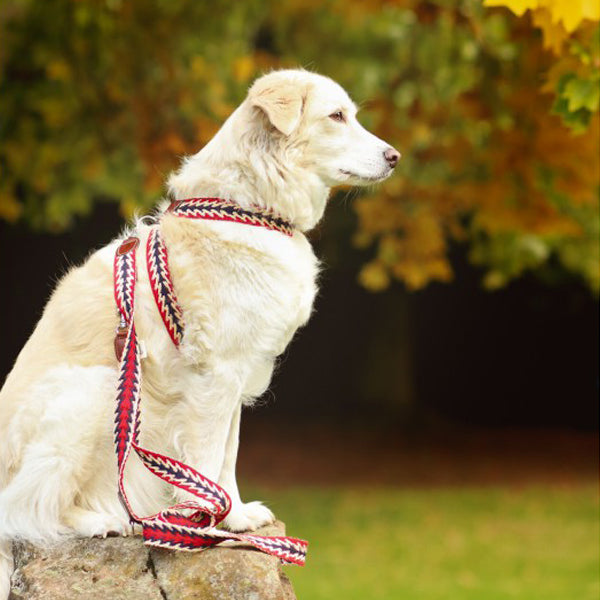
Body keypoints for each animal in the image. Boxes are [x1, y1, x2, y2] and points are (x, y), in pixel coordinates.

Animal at [1, 70, 404, 596]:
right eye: (336, 116)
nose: (395, 156)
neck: (247, 206)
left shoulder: (235, 379)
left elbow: (227, 457)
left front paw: (236, 517)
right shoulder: (215, 376)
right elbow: (209, 458)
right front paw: (211, 527)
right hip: (95, 389)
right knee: (26, 507)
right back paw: (100, 521)